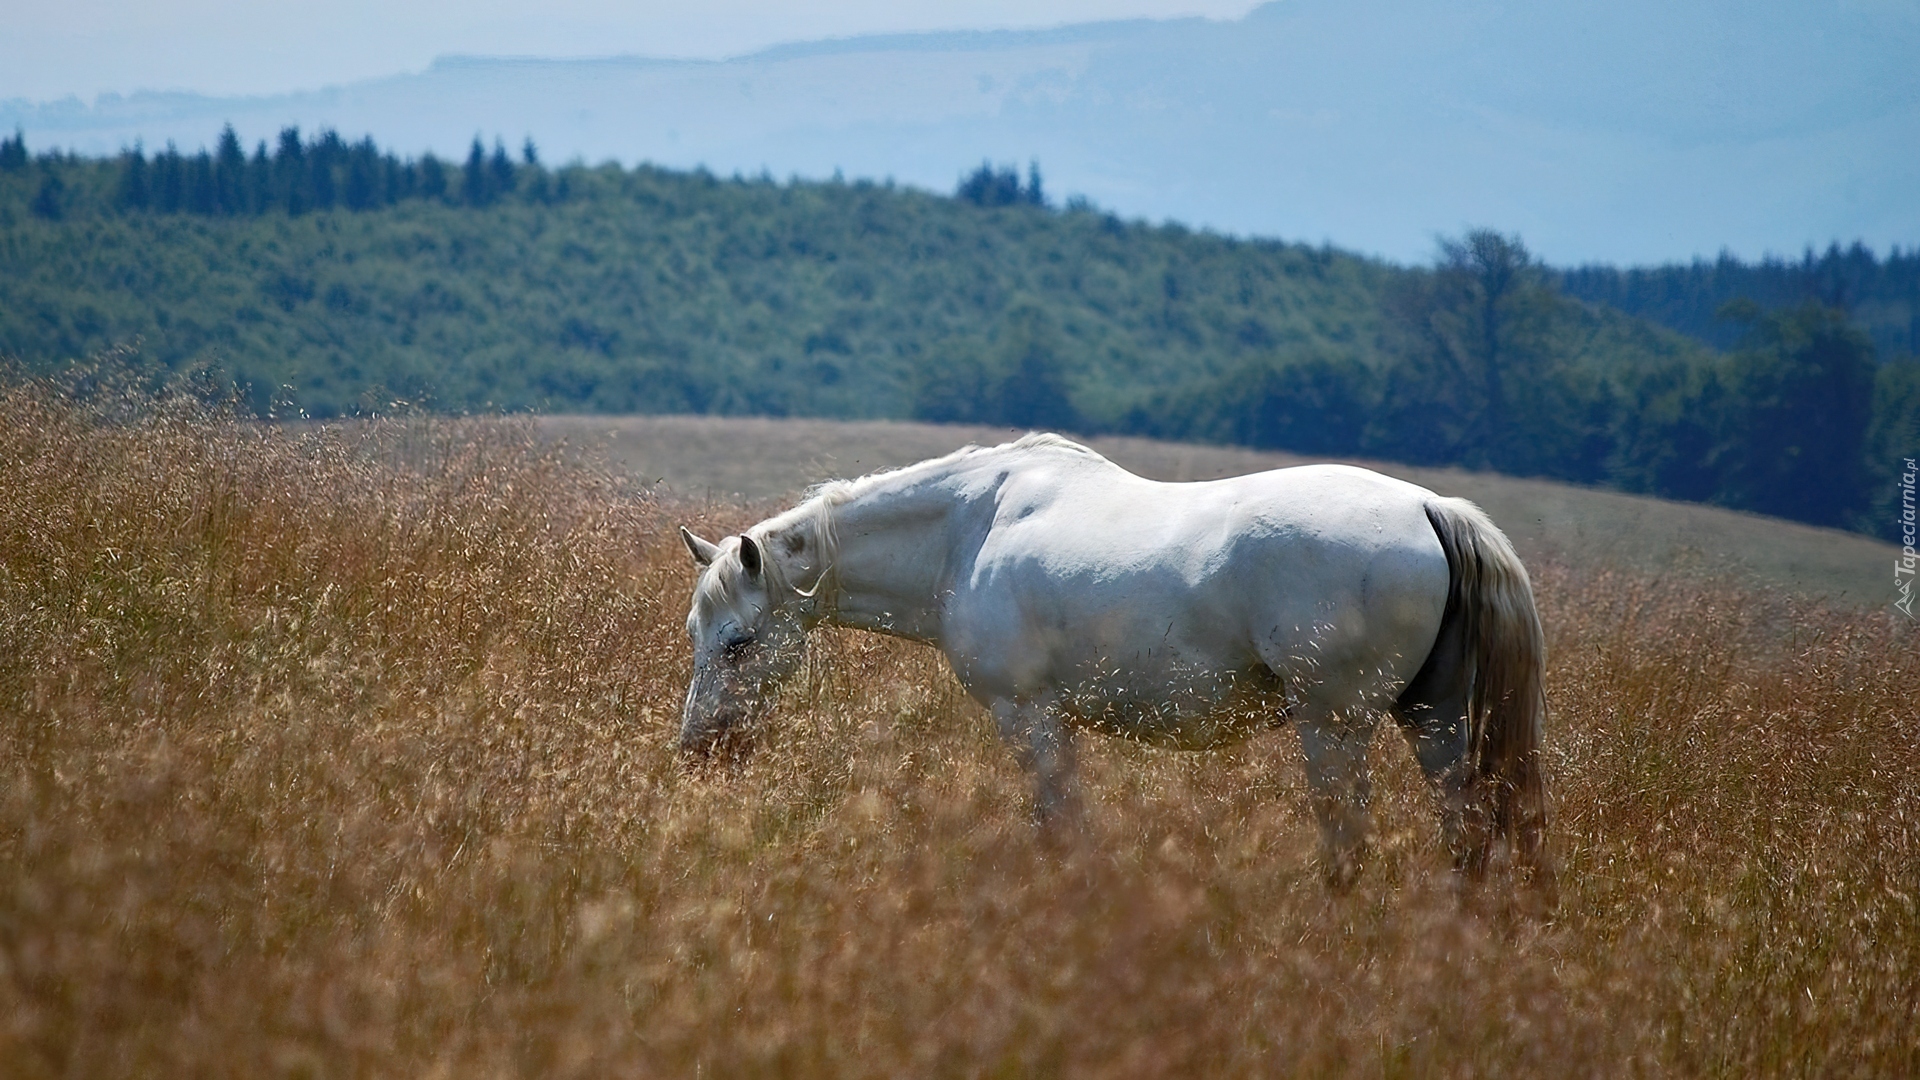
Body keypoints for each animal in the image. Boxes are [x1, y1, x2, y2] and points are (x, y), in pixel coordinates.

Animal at [683, 432, 1551, 887]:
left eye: (737, 642)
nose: (699, 752)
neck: (968, 529)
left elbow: (1058, 827)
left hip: (1334, 728)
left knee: (1350, 841)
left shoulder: (1030, 718)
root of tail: (1430, 508)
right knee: (1468, 834)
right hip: (1436, 724)